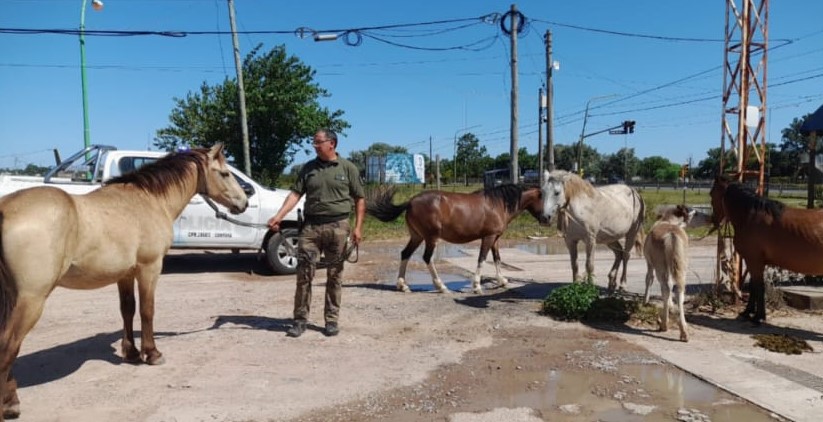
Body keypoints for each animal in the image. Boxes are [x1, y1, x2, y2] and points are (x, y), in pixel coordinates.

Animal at [0, 144, 248, 420]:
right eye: (225, 173)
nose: (244, 202)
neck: (149, 200)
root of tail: (6, 209)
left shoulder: (125, 274)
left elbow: (127, 310)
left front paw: (131, 352)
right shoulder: (150, 268)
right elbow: (147, 311)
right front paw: (152, 353)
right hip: (31, 299)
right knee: (8, 345)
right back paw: (9, 404)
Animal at [366, 184, 547, 294]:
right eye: (545, 198)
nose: (547, 219)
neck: (498, 204)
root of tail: (410, 202)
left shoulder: (495, 238)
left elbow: (497, 258)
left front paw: (502, 280)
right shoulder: (488, 237)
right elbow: (482, 259)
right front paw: (477, 286)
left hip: (417, 236)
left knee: (405, 254)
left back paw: (403, 286)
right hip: (431, 238)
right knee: (427, 257)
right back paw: (441, 286)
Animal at [643, 204, 694, 342]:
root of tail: (671, 235)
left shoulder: (650, 263)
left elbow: (649, 278)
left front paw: (645, 301)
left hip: (660, 266)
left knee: (665, 287)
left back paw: (664, 324)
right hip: (682, 265)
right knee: (679, 290)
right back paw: (684, 331)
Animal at [710, 175, 823, 324]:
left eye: (711, 194)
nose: (713, 220)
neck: (750, 217)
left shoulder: (754, 261)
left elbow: (758, 287)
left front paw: (758, 317)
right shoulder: (753, 262)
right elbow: (753, 286)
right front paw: (747, 312)